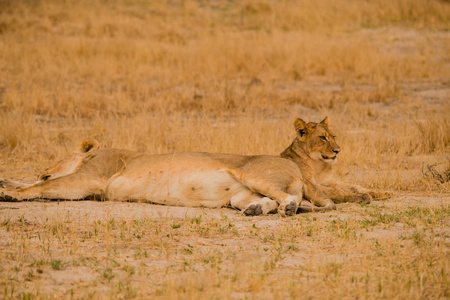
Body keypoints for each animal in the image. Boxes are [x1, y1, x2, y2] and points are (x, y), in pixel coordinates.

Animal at [0, 117, 386, 216]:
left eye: (53, 158)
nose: (42, 167)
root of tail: (297, 170)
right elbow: (33, 185)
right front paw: (8, 183)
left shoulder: (90, 180)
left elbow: (41, 187)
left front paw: (11, 193)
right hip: (239, 193)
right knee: (266, 201)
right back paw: (256, 210)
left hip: (252, 173)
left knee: (291, 200)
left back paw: (287, 208)